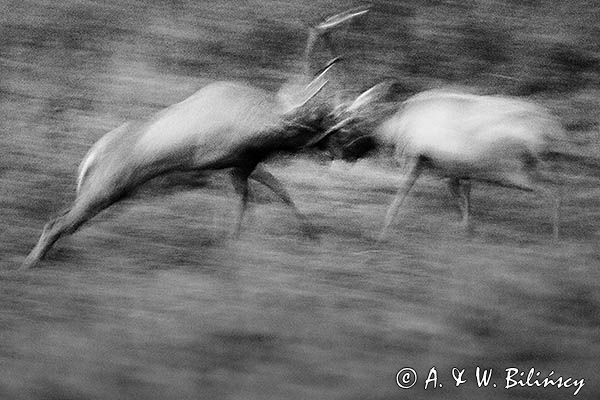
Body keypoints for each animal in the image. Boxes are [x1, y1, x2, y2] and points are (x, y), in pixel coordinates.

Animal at [21, 7, 370, 268]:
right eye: (328, 123)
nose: (355, 151)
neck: (261, 121)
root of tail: (88, 160)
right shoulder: (225, 164)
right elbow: (244, 207)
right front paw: (231, 244)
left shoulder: (246, 163)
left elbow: (281, 194)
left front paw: (313, 236)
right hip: (105, 189)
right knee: (57, 223)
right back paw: (29, 264)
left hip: (110, 193)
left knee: (62, 222)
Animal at [322, 84, 564, 239]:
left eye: (343, 133)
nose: (335, 156)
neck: (392, 130)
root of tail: (551, 129)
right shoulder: (454, 169)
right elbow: (463, 199)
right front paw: (467, 228)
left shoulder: (415, 160)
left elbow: (399, 198)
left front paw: (383, 230)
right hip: (525, 168)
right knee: (553, 189)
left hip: (515, 170)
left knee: (553, 193)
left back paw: (555, 238)